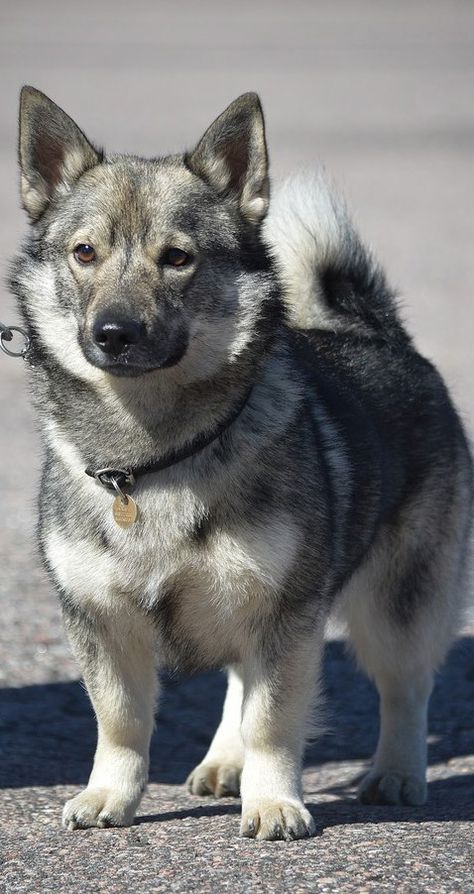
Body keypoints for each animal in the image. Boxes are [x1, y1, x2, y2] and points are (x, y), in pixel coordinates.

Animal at [9, 87, 472, 844]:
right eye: (84, 252)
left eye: (177, 257)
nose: (114, 332)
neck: (156, 458)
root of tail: (376, 331)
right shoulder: (102, 619)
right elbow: (122, 721)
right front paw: (111, 795)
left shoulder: (287, 614)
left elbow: (272, 719)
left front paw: (274, 801)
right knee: (236, 678)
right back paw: (225, 762)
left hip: (398, 604)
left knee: (406, 686)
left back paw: (397, 773)